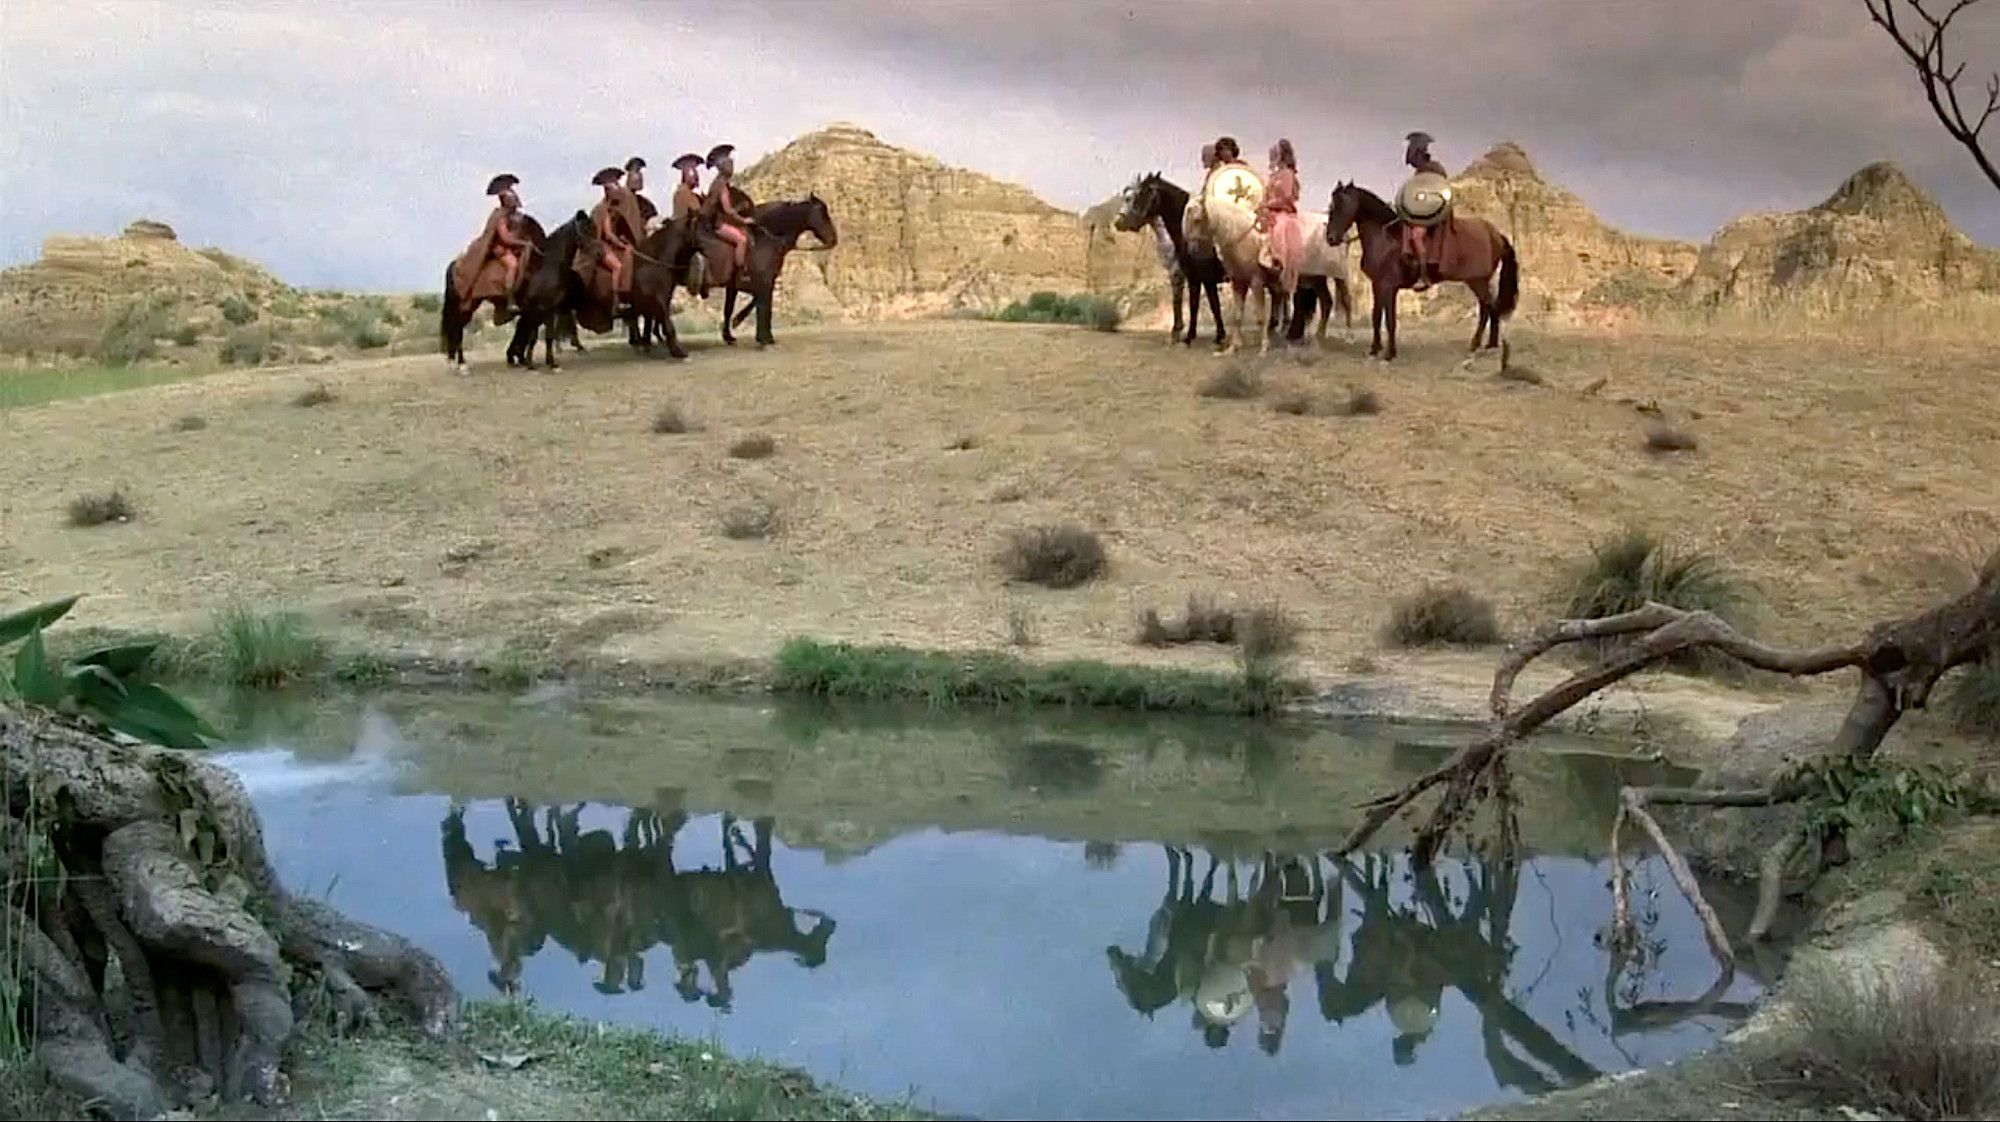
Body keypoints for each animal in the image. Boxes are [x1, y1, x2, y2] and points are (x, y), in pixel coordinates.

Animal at [1320, 182, 1520, 360]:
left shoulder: (1389, 287)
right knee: (1492, 307)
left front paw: (1389, 354)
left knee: (1486, 308)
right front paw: (1375, 349)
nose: (1331, 238)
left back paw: (1476, 344)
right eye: (1331, 205)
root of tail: (1495, 234)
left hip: (1478, 281)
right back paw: (1490, 344)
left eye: (1342, 205)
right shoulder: (1378, 285)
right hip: (1484, 281)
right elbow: (1376, 316)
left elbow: (1390, 320)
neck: (1385, 239)